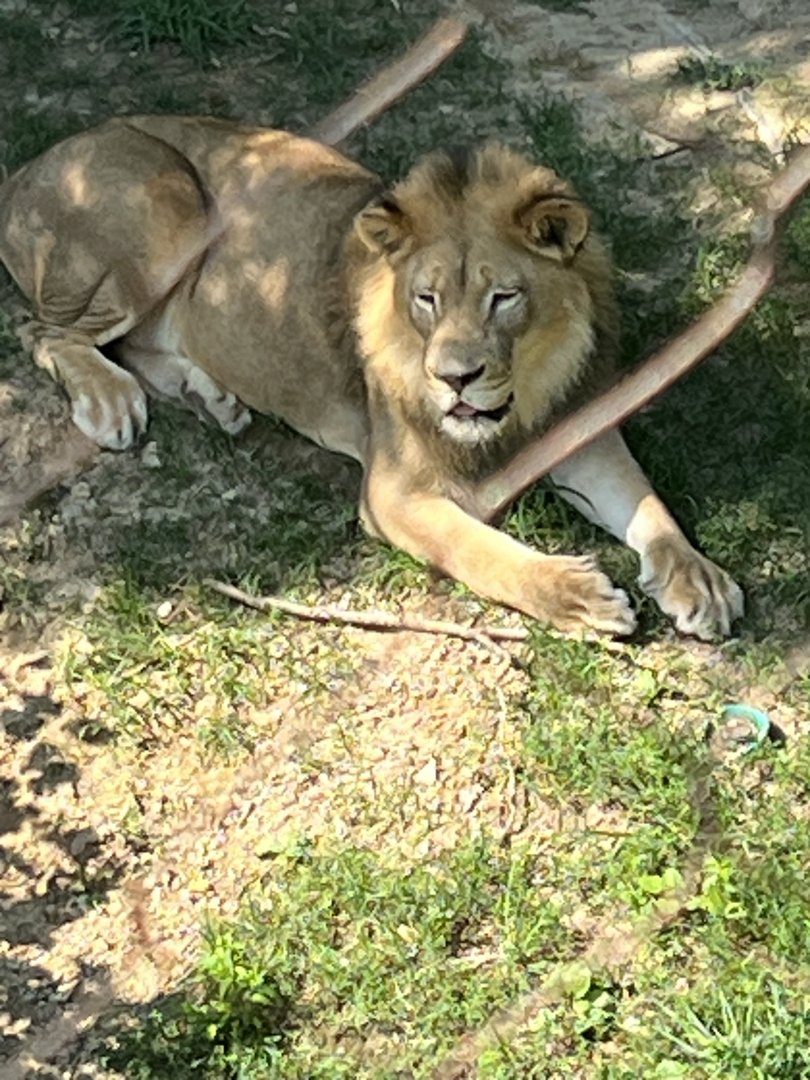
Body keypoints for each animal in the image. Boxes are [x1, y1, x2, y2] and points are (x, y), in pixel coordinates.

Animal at [0, 115, 743, 638]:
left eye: (504, 298)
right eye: (427, 298)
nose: (456, 379)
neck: (523, 392)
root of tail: (31, 162)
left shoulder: (583, 427)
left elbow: (648, 504)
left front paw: (698, 578)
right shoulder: (392, 492)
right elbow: (477, 549)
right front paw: (576, 595)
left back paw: (209, 398)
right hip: (169, 201)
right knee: (44, 331)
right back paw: (109, 399)